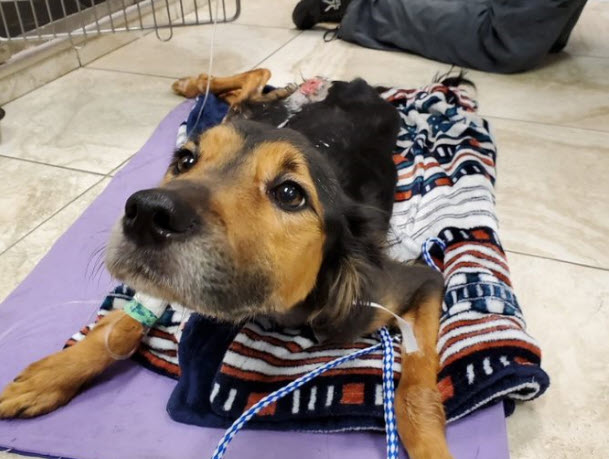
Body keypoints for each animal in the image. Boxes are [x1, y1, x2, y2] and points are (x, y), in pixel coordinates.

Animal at [0, 68, 452, 459]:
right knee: (254, 81)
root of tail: (355, 83)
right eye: (184, 161)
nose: (146, 213)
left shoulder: (415, 283)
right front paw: (55, 373)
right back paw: (199, 83)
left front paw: (431, 448)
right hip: (253, 112)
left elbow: (416, 390)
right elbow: (124, 326)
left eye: (290, 193)